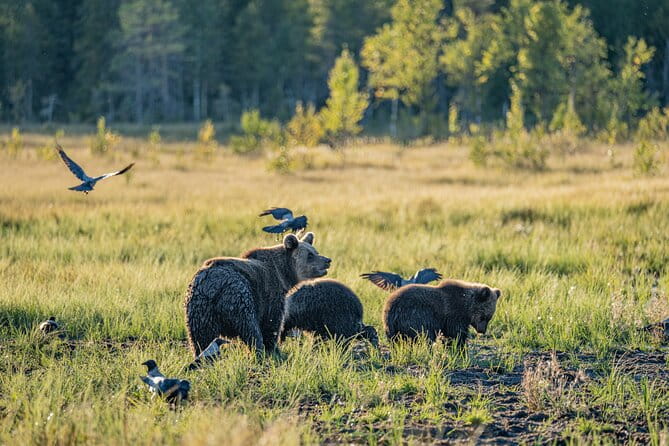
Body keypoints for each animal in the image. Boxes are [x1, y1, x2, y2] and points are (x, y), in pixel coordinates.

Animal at [184, 232, 331, 356]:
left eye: (316, 251)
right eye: (310, 255)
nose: (327, 260)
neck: (284, 274)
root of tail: (213, 284)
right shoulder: (271, 293)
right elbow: (272, 323)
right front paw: (274, 349)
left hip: (199, 308)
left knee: (201, 338)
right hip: (240, 296)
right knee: (250, 327)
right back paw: (259, 350)